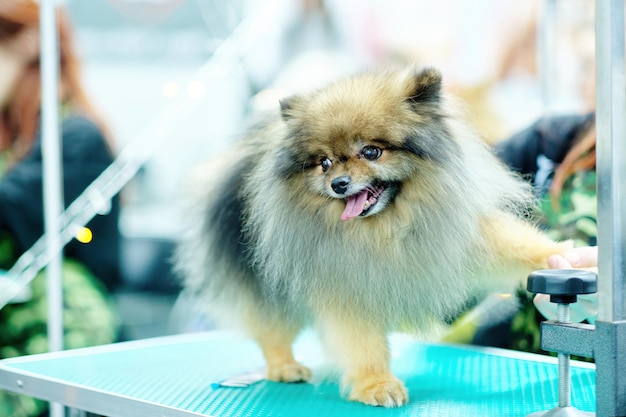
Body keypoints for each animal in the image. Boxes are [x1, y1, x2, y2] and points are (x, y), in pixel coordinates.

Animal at [173, 66, 568, 408]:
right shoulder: (345, 284)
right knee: (271, 328)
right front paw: (376, 384)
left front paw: (562, 254)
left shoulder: (457, 234)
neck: (385, 227)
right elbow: (362, 342)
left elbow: (511, 244)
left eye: (371, 152)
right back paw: (284, 366)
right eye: (324, 163)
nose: (338, 183)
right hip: (261, 278)